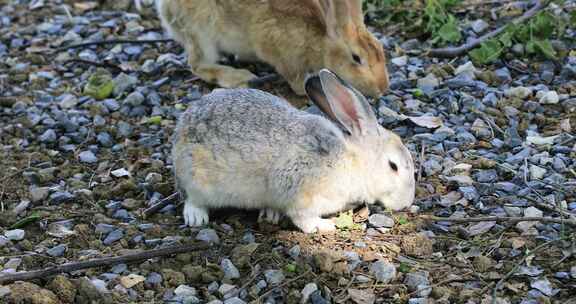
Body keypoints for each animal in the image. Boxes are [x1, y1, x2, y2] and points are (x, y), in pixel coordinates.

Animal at [151, 0, 390, 97]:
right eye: (356, 58)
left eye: (381, 50)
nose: (382, 88)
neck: (321, 40)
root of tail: (165, 11)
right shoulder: (276, 46)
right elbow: (294, 78)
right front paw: (306, 88)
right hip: (201, 30)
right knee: (198, 64)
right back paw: (239, 77)